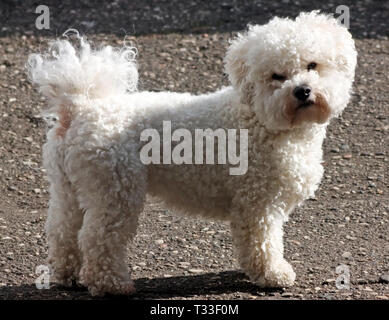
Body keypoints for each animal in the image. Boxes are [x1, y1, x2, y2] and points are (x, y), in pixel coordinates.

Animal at [26, 11, 354, 296]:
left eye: (312, 65)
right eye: (277, 76)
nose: (302, 91)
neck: (261, 119)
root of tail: (79, 109)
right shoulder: (257, 204)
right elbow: (263, 244)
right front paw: (272, 275)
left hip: (69, 188)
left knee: (62, 231)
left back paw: (66, 275)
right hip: (115, 190)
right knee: (97, 238)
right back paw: (111, 285)